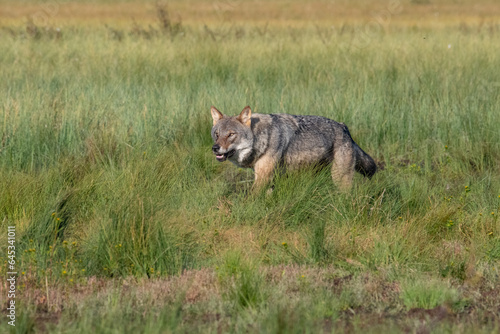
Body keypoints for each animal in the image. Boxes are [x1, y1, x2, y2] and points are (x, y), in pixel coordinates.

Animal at [209, 106, 376, 190]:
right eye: (217, 134)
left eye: (231, 134)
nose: (215, 148)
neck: (263, 138)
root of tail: (344, 127)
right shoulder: (271, 177)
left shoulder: (263, 176)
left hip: (339, 178)